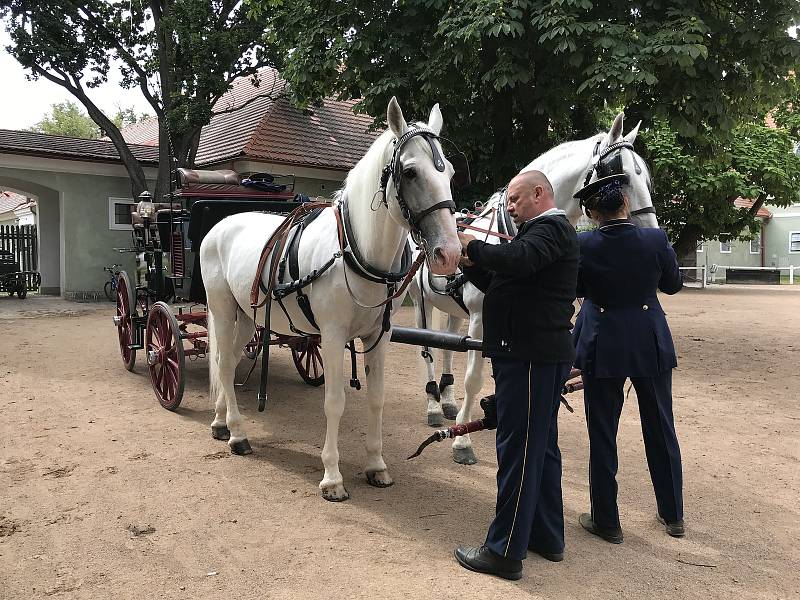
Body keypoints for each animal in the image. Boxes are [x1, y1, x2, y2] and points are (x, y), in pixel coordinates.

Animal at [200, 99, 462, 502]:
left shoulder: (379, 337)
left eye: (448, 171)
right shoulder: (334, 336)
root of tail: (219, 226)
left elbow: (376, 398)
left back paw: (221, 422)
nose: (450, 253)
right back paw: (239, 434)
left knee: (225, 363)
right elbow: (335, 402)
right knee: (225, 366)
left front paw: (376, 465)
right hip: (223, 311)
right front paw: (332, 476)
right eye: (410, 172)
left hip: (247, 317)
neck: (354, 250)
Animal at [410, 112, 660, 464]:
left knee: (446, 346)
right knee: (427, 350)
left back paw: (446, 402)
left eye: (647, 179)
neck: (513, 234)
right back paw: (433, 405)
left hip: (452, 309)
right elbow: (474, 379)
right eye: (619, 178)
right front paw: (462, 443)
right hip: (420, 302)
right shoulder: (481, 318)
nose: (653, 235)